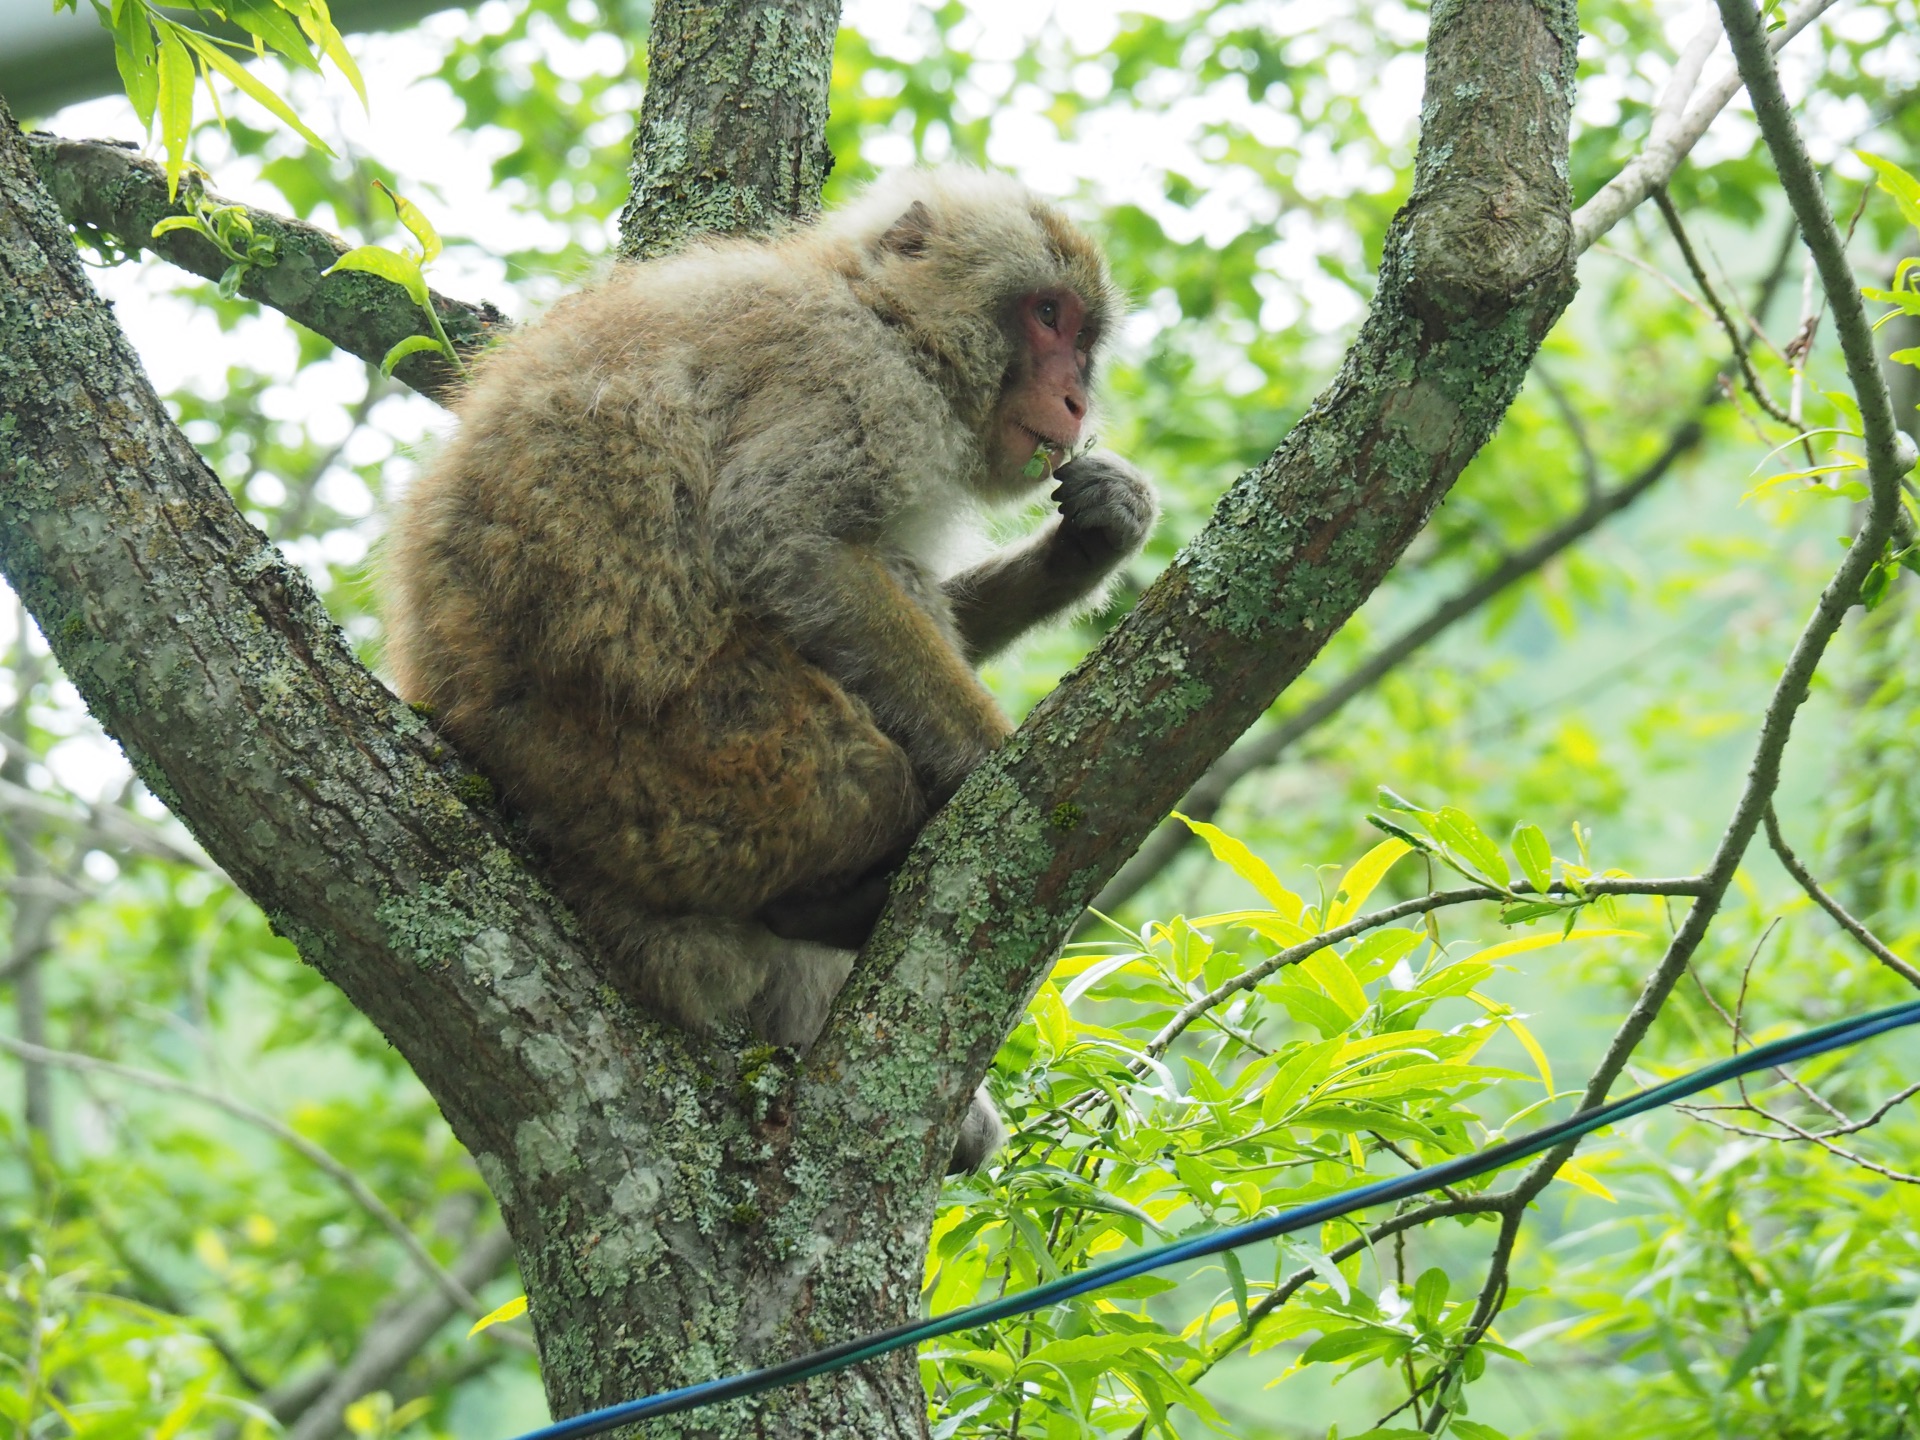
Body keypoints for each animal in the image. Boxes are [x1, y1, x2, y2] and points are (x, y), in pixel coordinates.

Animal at [382, 166, 1144, 1175]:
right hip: (691, 766)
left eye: (1083, 338)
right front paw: (998, 767)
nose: (1074, 403)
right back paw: (835, 901)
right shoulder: (852, 379)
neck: (883, 315)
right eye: (1045, 313)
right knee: (860, 768)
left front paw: (1097, 534)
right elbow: (788, 539)